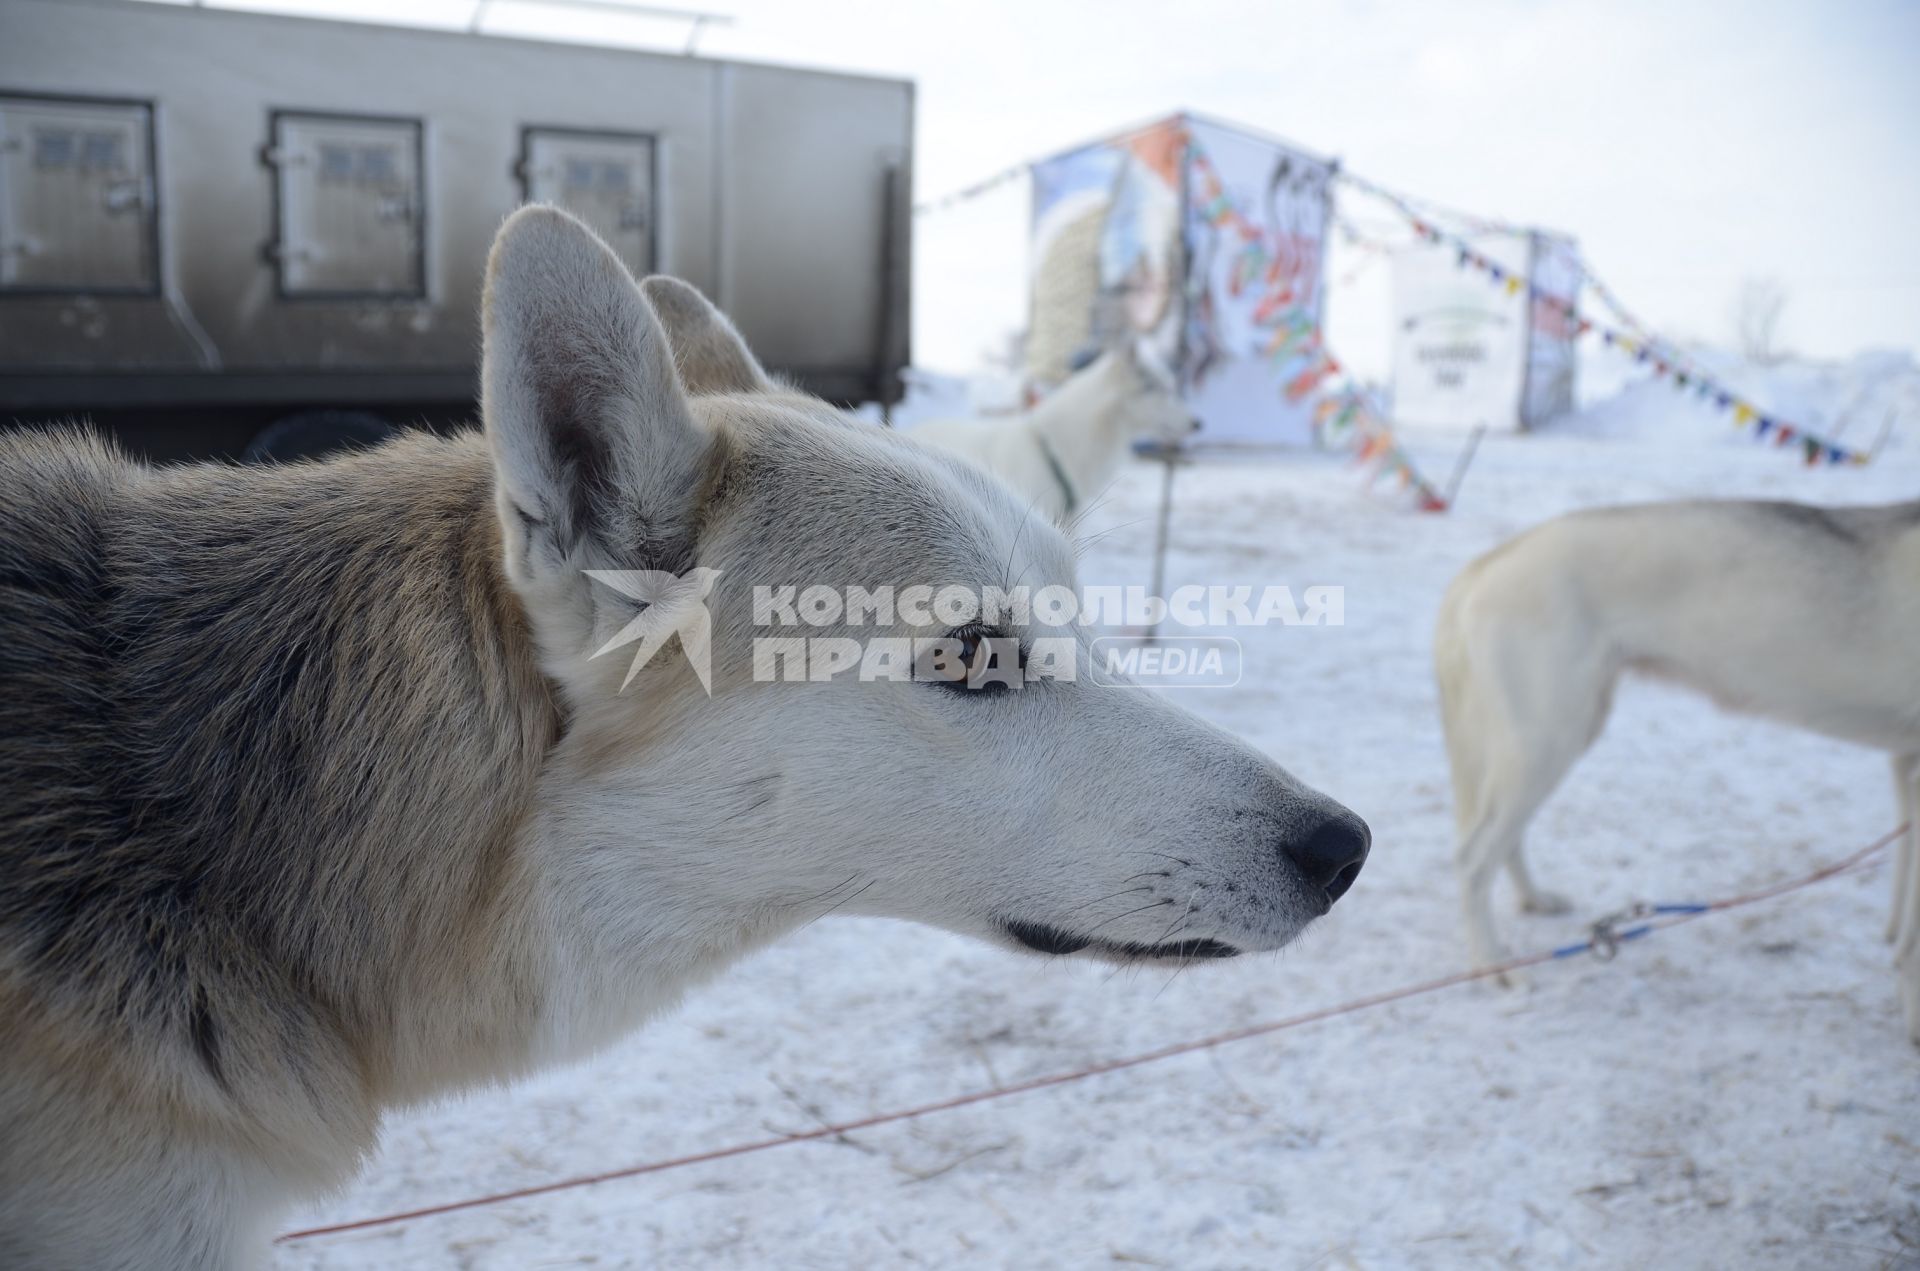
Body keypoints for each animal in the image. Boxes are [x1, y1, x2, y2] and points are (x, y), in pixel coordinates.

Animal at [1443, 499, 1920, 1044]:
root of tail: (1493, 559)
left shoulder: (1905, 764)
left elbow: (1902, 900)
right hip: (1548, 740)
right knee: (1474, 858)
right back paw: (1495, 968)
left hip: (1556, 737)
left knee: (1505, 839)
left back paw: (1534, 900)